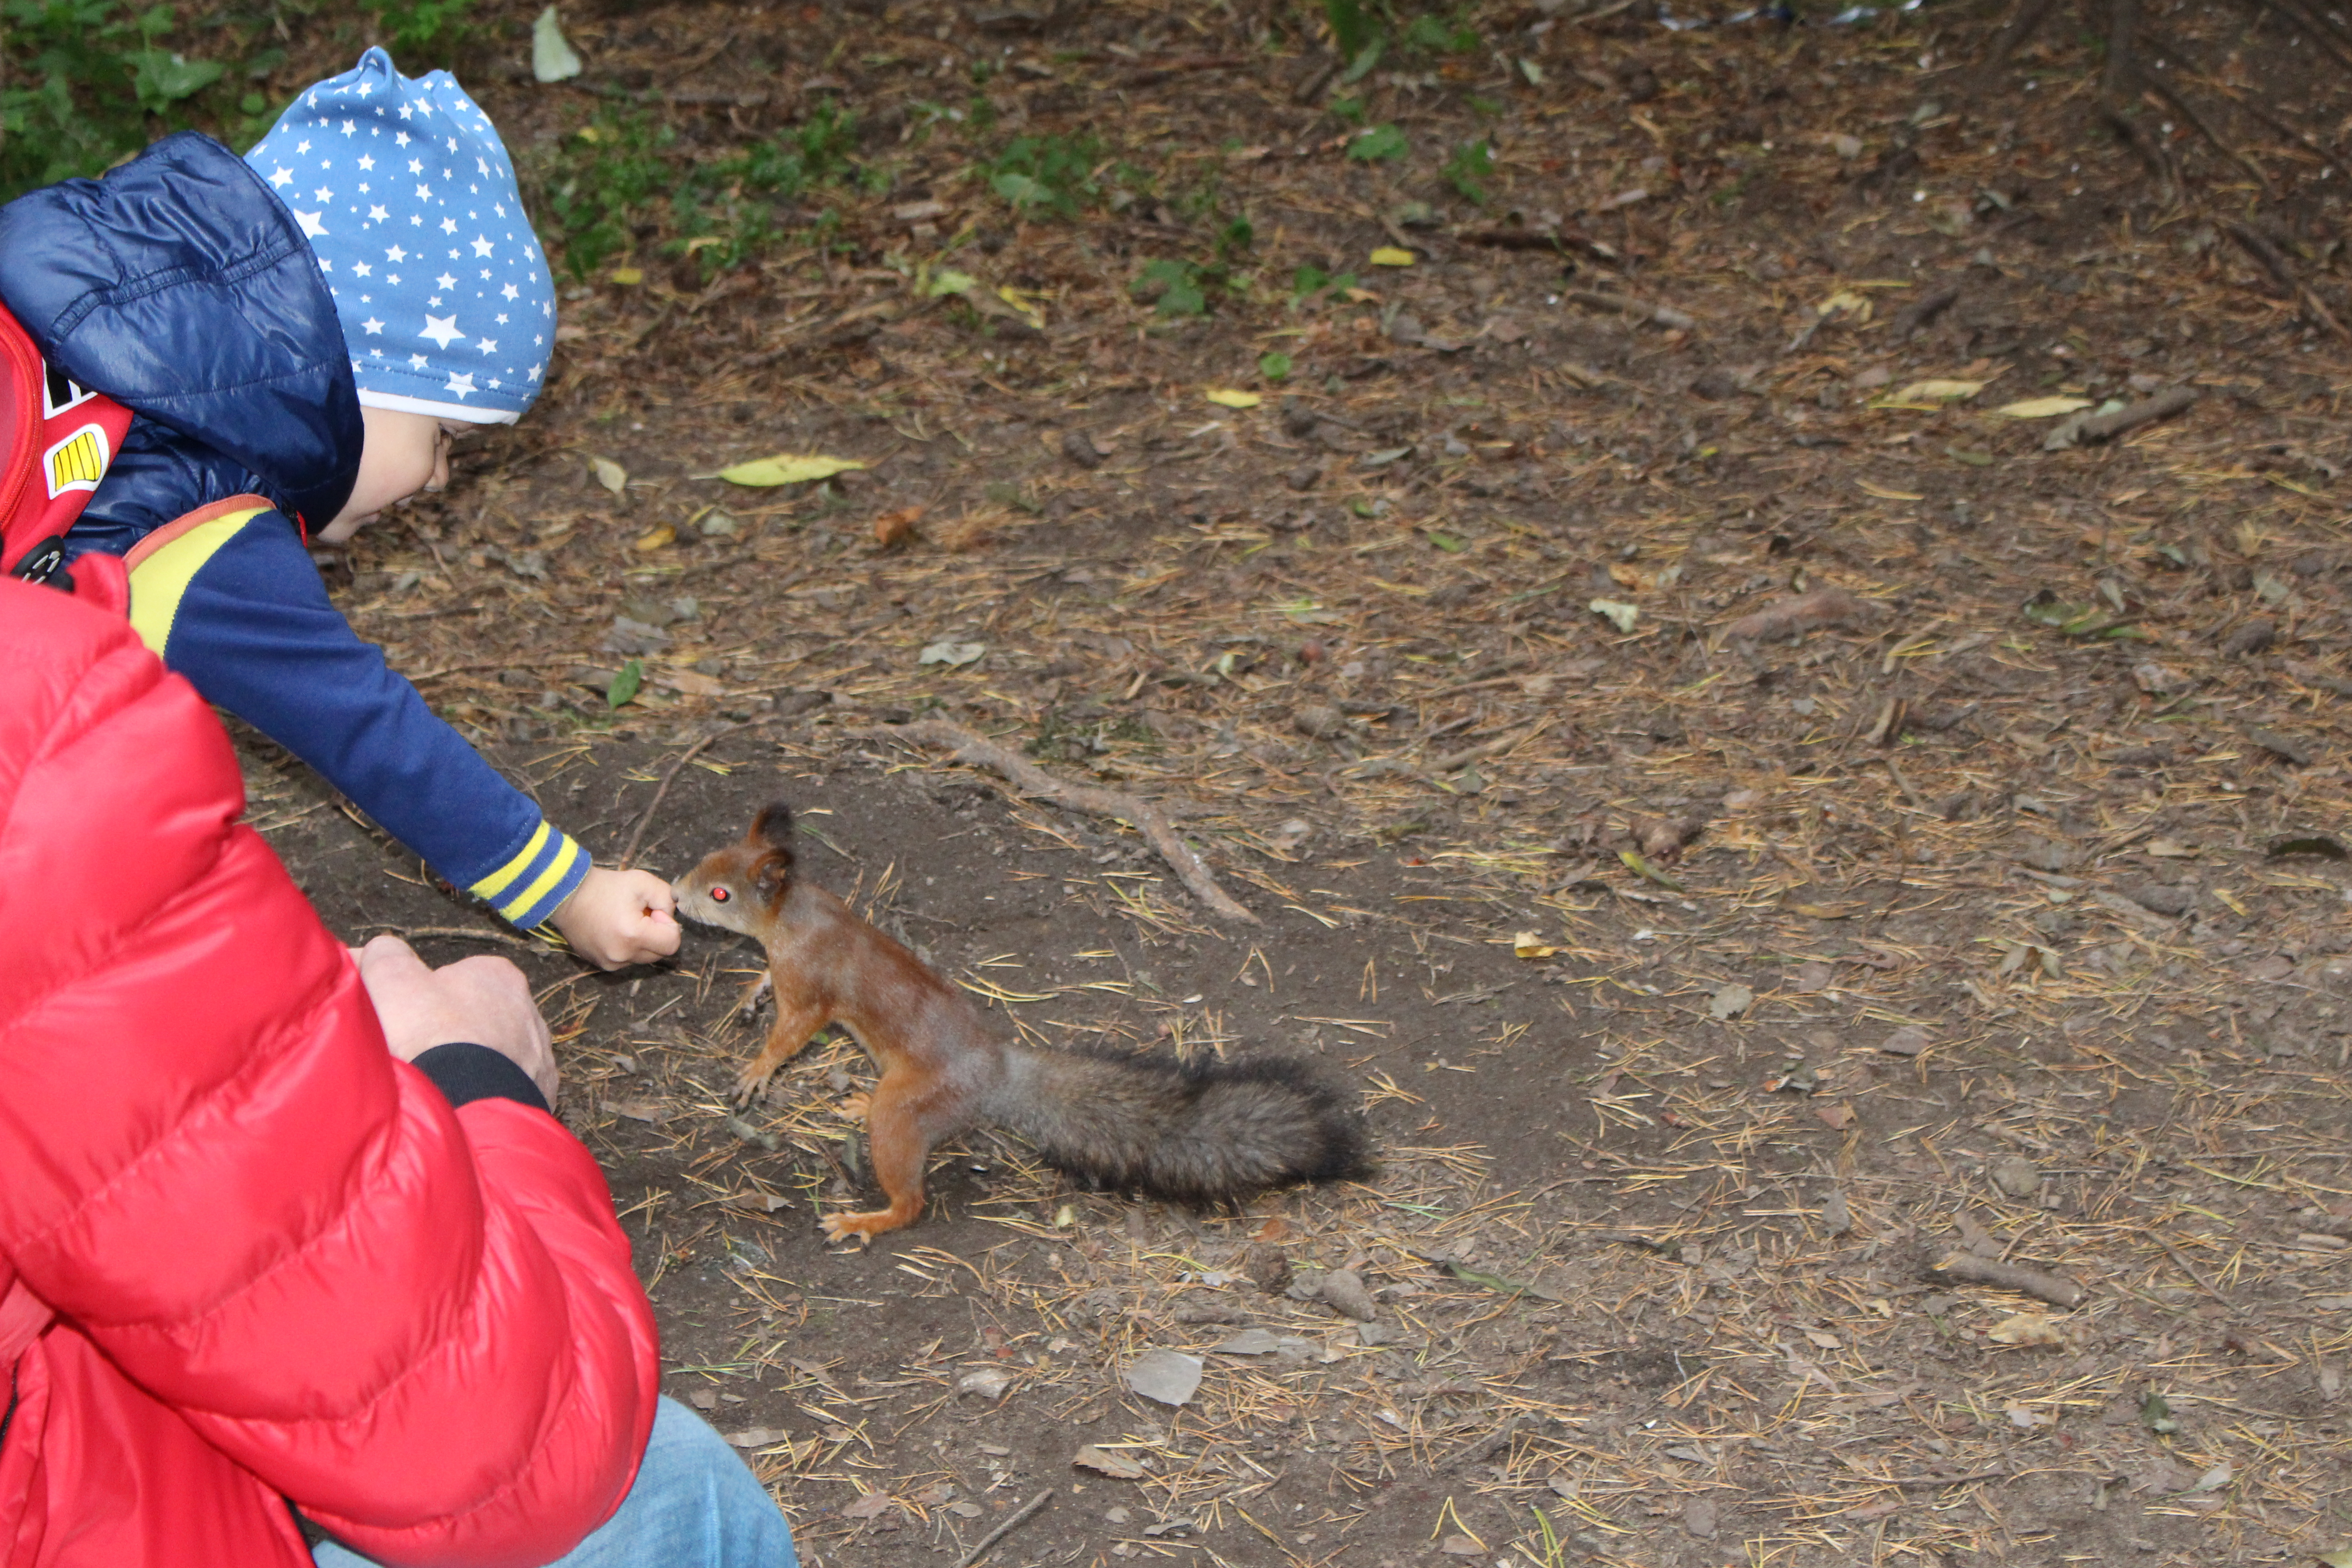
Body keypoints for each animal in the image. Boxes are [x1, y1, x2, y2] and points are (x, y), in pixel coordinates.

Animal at [672, 804, 1373, 1241]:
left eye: (721, 894)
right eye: (705, 858)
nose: (675, 897)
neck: (793, 916)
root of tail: (994, 1077)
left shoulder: (813, 988)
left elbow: (794, 1032)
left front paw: (758, 1069)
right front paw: (751, 994)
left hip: (907, 1113)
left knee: (912, 1200)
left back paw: (866, 1220)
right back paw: (856, 1108)